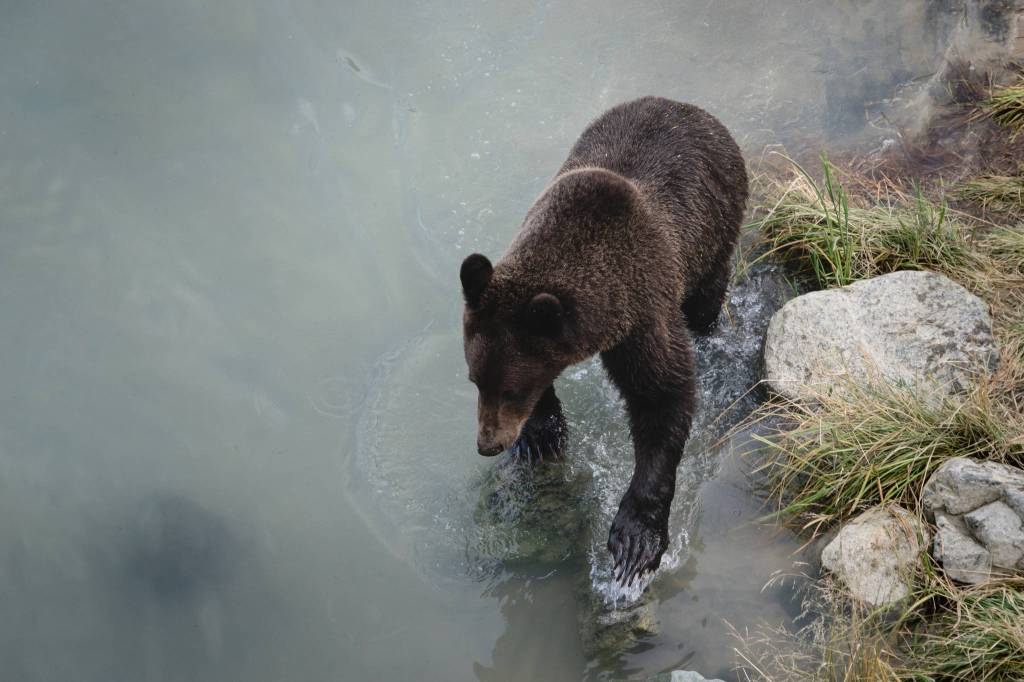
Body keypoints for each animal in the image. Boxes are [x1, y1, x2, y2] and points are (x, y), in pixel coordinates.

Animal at [459, 96, 748, 586]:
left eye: (510, 389)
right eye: (475, 380)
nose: (488, 443)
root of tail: (688, 107)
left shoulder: (643, 312)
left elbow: (663, 396)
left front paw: (634, 541)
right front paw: (541, 437)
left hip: (717, 228)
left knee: (707, 300)